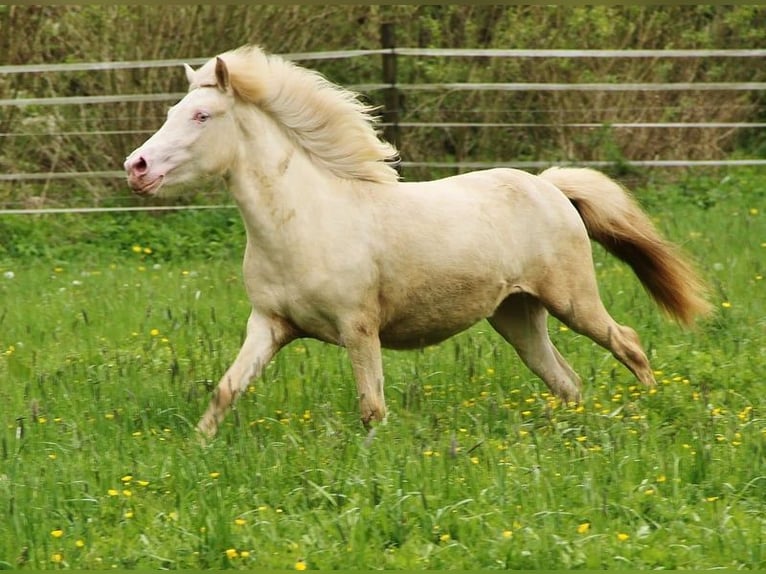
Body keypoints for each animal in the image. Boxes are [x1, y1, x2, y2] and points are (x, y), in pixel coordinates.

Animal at [123, 46, 712, 440]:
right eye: (171, 113)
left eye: (201, 115)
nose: (137, 167)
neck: (304, 221)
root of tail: (549, 186)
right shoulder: (270, 325)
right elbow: (226, 389)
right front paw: (198, 449)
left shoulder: (359, 329)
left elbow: (372, 408)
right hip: (517, 316)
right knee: (566, 382)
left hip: (572, 300)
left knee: (626, 342)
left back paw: (654, 408)